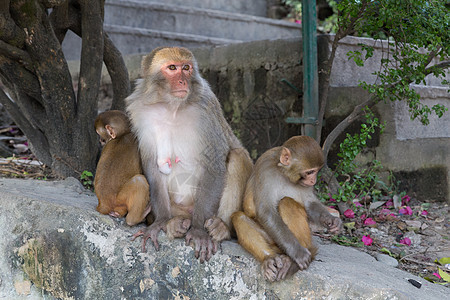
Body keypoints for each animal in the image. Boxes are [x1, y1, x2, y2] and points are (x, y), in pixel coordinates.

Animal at [126, 47, 253, 262]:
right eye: (172, 68)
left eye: (186, 68)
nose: (182, 81)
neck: (172, 107)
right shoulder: (141, 113)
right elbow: (152, 166)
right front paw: (160, 222)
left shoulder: (206, 109)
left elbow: (214, 163)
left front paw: (199, 231)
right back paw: (175, 224)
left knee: (237, 157)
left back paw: (221, 228)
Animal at [232, 136, 342, 282]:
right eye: (310, 172)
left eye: (316, 171)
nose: (313, 181)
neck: (283, 172)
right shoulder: (265, 169)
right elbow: (266, 211)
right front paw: (298, 253)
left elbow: (309, 203)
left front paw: (331, 220)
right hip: (274, 241)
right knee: (239, 217)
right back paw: (269, 258)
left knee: (287, 202)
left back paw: (296, 258)